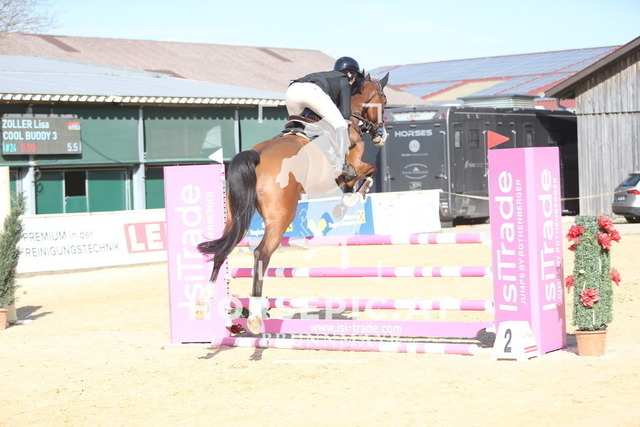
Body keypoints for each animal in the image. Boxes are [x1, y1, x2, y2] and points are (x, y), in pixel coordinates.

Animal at [197, 73, 389, 333]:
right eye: (384, 101)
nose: (382, 134)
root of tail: (256, 156)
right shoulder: (354, 165)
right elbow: (368, 172)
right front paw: (352, 199)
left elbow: (351, 183)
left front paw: (343, 204)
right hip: (281, 216)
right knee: (261, 253)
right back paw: (254, 316)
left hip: (236, 215)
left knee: (222, 249)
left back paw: (204, 303)